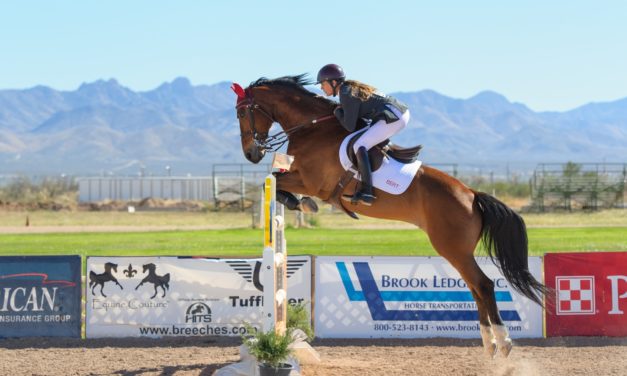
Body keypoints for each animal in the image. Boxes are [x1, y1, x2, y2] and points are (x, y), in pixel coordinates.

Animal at [233, 75, 548, 356]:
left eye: (241, 112)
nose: (251, 154)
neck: (311, 130)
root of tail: (471, 194)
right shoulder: (302, 177)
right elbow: (276, 180)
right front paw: (299, 203)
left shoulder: (311, 181)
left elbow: (275, 180)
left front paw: (301, 203)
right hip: (458, 251)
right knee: (474, 287)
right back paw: (489, 343)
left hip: (452, 248)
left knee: (482, 284)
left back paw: (503, 342)